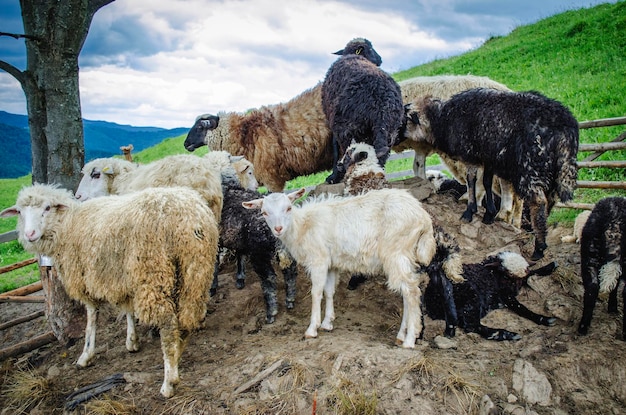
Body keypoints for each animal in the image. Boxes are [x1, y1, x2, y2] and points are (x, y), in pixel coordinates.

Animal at [0, 185, 219, 400]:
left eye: (47, 208)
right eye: (19, 211)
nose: (30, 234)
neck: (68, 224)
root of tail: (188, 216)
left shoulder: (86, 277)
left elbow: (91, 318)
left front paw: (86, 354)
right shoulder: (123, 278)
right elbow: (128, 310)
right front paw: (132, 341)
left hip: (154, 271)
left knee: (168, 325)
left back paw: (169, 381)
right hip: (195, 269)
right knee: (189, 318)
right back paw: (178, 353)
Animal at [241, 188, 450, 348]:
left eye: (288, 208)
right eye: (264, 212)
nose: (278, 229)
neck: (302, 227)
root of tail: (423, 218)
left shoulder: (319, 260)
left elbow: (316, 292)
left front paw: (312, 328)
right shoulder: (332, 263)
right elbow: (329, 291)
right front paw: (327, 322)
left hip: (395, 253)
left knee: (411, 292)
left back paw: (409, 340)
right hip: (406, 255)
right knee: (409, 292)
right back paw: (402, 335)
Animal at [404, 88, 576, 260]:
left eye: (406, 120)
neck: (442, 119)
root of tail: (564, 126)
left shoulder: (470, 155)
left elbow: (471, 180)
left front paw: (469, 211)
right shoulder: (489, 157)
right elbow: (486, 181)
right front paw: (489, 214)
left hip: (531, 167)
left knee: (538, 202)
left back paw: (538, 248)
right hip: (551, 170)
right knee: (550, 201)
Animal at [422, 250, 560, 342]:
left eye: (518, 279)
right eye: (505, 275)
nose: (516, 291)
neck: (493, 274)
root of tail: (431, 302)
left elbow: (531, 273)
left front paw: (551, 266)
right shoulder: (505, 294)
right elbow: (521, 308)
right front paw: (544, 319)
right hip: (471, 298)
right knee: (472, 326)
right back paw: (506, 334)